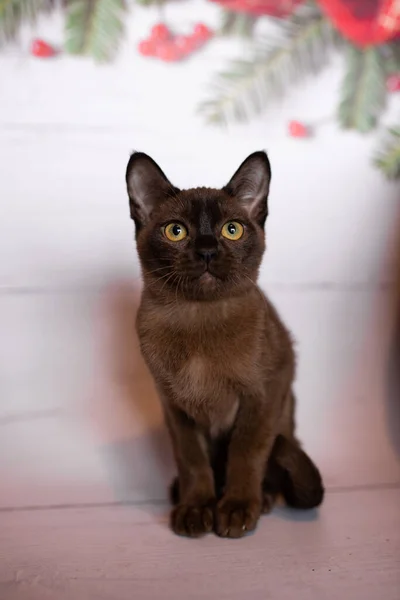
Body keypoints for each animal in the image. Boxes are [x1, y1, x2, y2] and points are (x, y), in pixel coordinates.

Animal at [126, 150, 324, 540]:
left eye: (231, 230)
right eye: (176, 231)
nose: (206, 251)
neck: (197, 319)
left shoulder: (263, 393)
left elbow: (246, 453)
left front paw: (236, 510)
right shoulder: (175, 406)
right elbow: (192, 461)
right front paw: (196, 509)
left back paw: (262, 500)